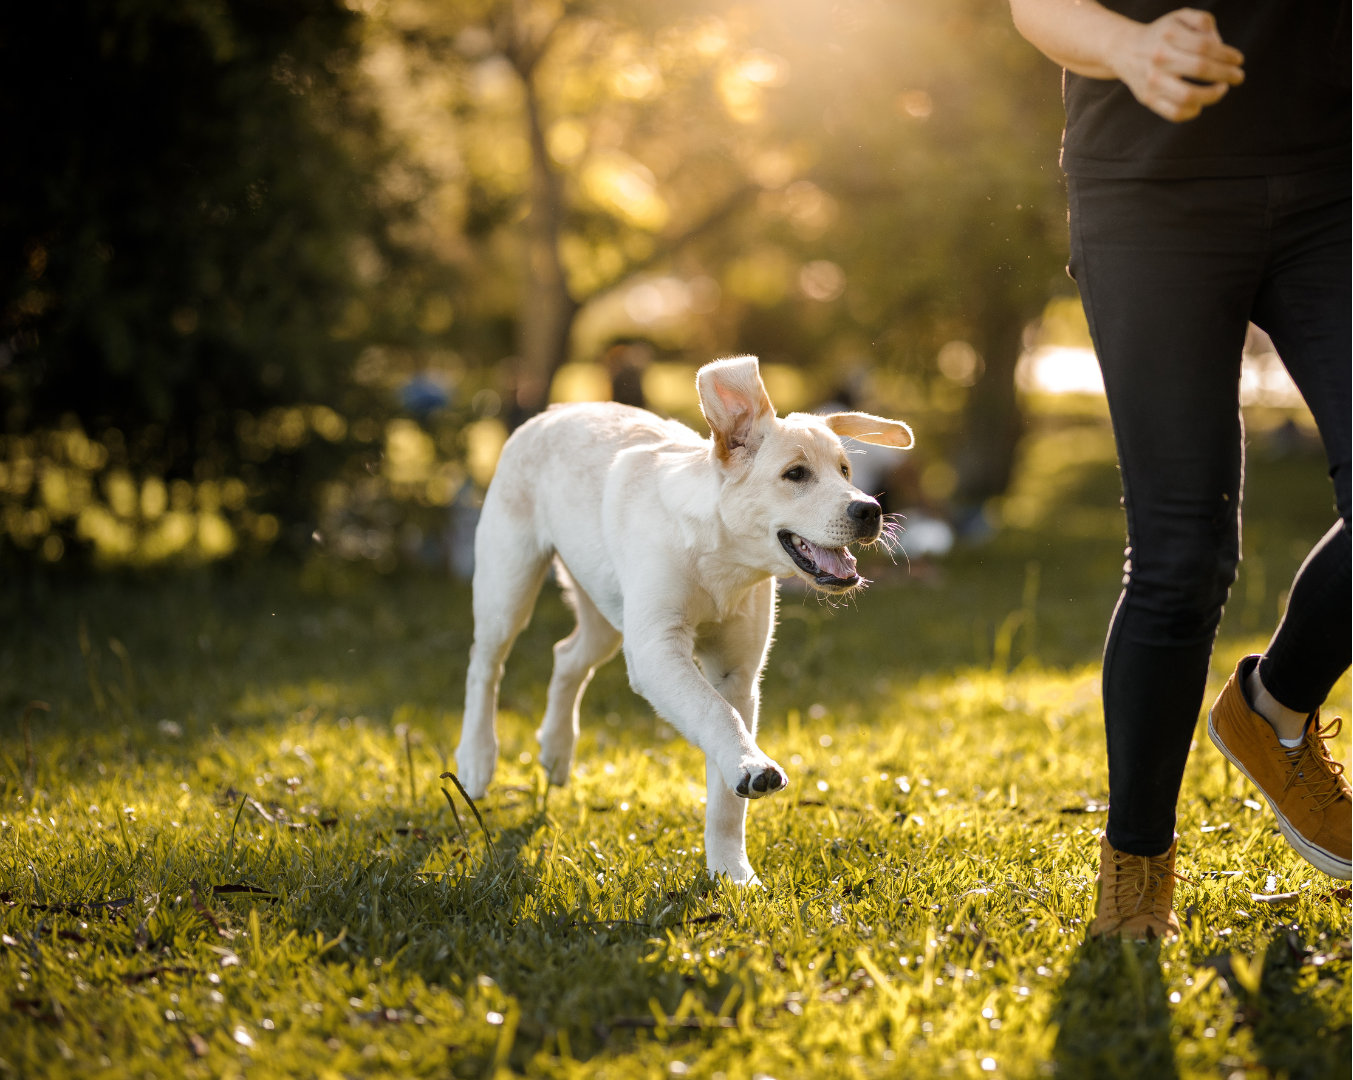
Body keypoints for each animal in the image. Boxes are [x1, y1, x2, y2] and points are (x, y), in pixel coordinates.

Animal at [454, 360, 909, 882]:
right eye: (795, 474)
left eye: (845, 471)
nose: (870, 509)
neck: (722, 559)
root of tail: (555, 409)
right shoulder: (656, 649)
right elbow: (714, 713)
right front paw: (751, 769)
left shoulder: (737, 674)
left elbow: (726, 786)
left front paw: (732, 871)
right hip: (508, 582)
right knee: (485, 664)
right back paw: (476, 759)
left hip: (607, 612)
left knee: (566, 656)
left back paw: (555, 749)